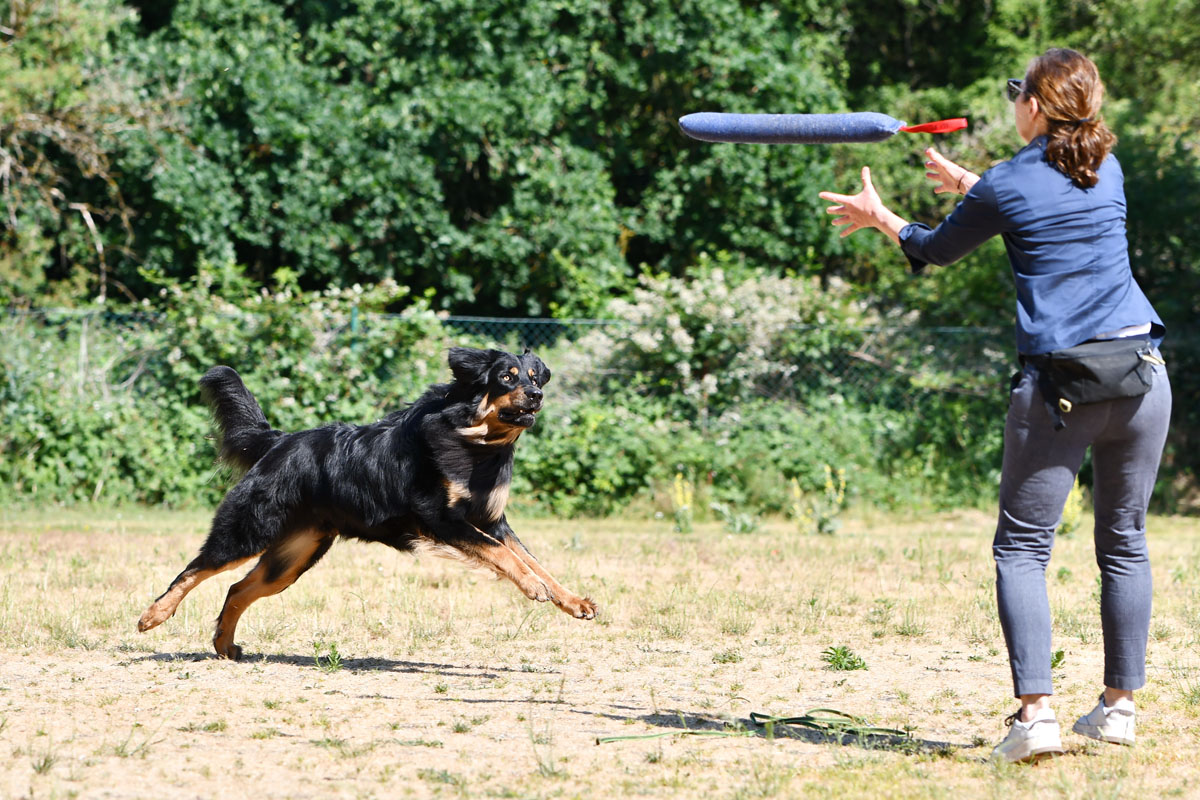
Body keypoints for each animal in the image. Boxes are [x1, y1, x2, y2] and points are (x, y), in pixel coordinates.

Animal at [138, 347, 597, 662]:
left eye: (536, 377)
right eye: (506, 377)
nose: (536, 396)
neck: (473, 442)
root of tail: (279, 442)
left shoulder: (491, 520)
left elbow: (531, 559)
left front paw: (571, 600)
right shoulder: (441, 519)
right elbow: (505, 556)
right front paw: (533, 587)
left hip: (292, 558)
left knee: (237, 588)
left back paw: (224, 645)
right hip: (250, 531)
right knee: (195, 569)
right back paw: (154, 615)